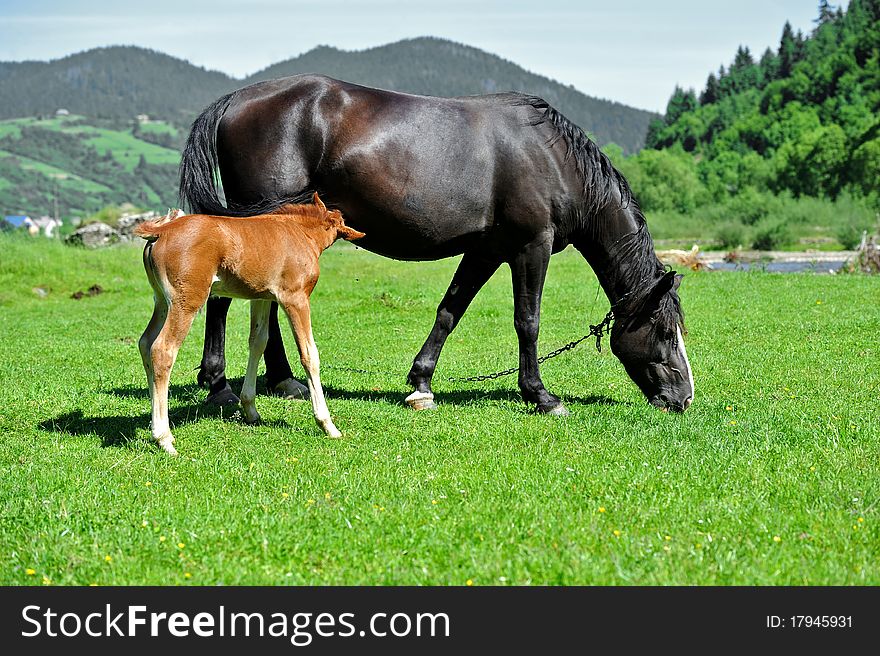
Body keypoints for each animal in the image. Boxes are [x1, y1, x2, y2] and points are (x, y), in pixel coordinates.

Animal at [136, 192, 362, 454]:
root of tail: (162, 230)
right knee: (162, 350)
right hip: (186, 301)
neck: (300, 232)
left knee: (145, 343)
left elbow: (258, 342)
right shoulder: (295, 298)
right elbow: (309, 354)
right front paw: (327, 425)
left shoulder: (262, 298)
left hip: (162, 301)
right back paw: (163, 437)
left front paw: (250, 409)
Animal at [179, 75, 696, 416]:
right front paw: (540, 395)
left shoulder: (487, 250)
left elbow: (450, 311)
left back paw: (283, 380)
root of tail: (236, 99)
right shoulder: (532, 246)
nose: (684, 398)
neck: (551, 157)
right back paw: (220, 385)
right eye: (665, 331)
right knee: (223, 300)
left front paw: (421, 383)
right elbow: (527, 321)